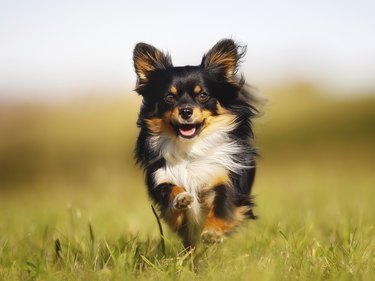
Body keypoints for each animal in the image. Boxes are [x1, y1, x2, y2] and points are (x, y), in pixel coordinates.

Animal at [132, 38, 258, 246]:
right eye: (169, 97)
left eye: (203, 95)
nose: (185, 111)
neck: (190, 148)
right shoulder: (161, 177)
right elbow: (171, 192)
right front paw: (181, 198)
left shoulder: (225, 180)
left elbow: (222, 207)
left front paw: (213, 232)